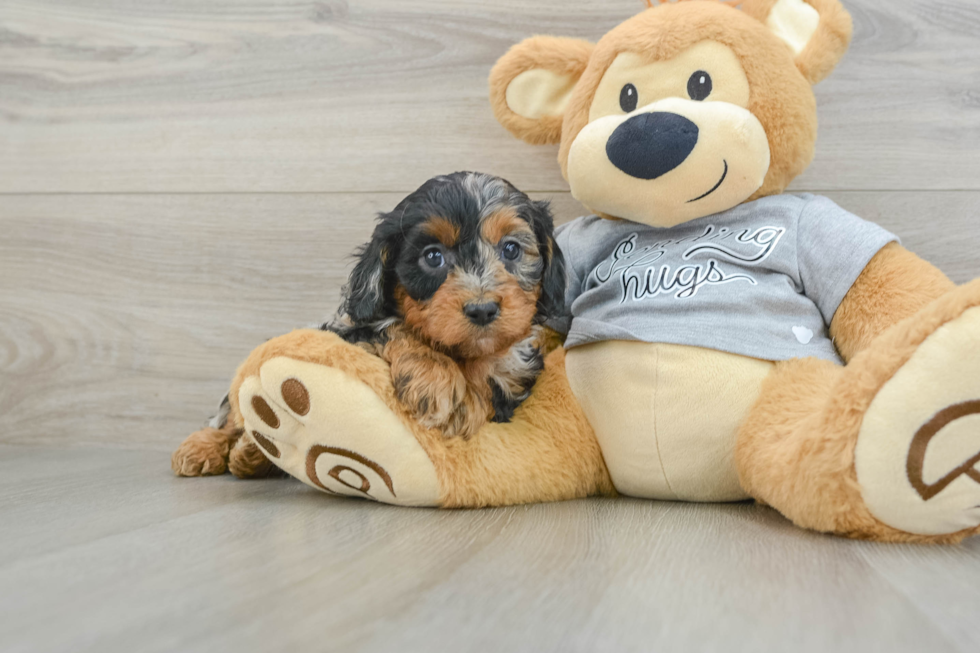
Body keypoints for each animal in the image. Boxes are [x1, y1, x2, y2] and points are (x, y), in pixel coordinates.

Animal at [172, 172, 564, 478]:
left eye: (511, 249)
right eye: (432, 257)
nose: (482, 310)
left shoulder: (514, 376)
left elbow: (493, 374)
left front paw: (469, 396)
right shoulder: (349, 330)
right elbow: (393, 327)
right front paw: (437, 380)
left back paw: (252, 456)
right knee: (230, 416)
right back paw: (205, 448)